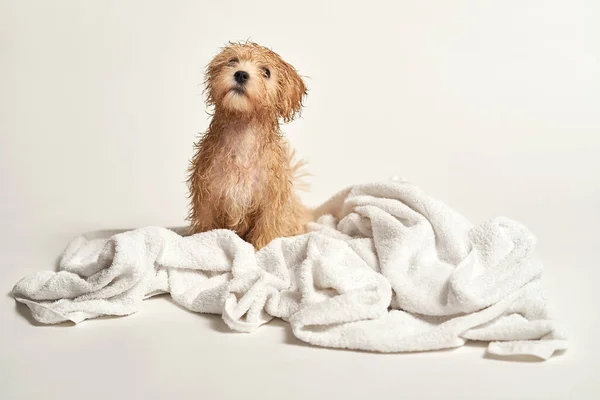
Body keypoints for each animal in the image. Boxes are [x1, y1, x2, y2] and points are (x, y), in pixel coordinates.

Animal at [186, 42, 310, 248]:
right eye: (232, 61)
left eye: (266, 72)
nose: (241, 74)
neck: (242, 137)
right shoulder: (207, 199)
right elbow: (207, 228)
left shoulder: (270, 205)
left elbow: (266, 233)